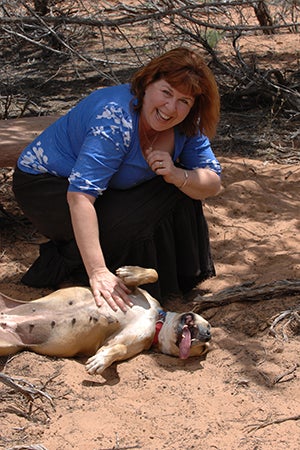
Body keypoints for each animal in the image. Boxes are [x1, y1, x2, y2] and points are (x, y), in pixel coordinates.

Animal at [0, 266, 211, 374]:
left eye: (202, 349)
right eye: (209, 325)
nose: (208, 335)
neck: (155, 318)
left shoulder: (120, 342)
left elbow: (119, 348)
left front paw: (100, 360)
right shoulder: (126, 289)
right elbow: (153, 273)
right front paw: (131, 272)